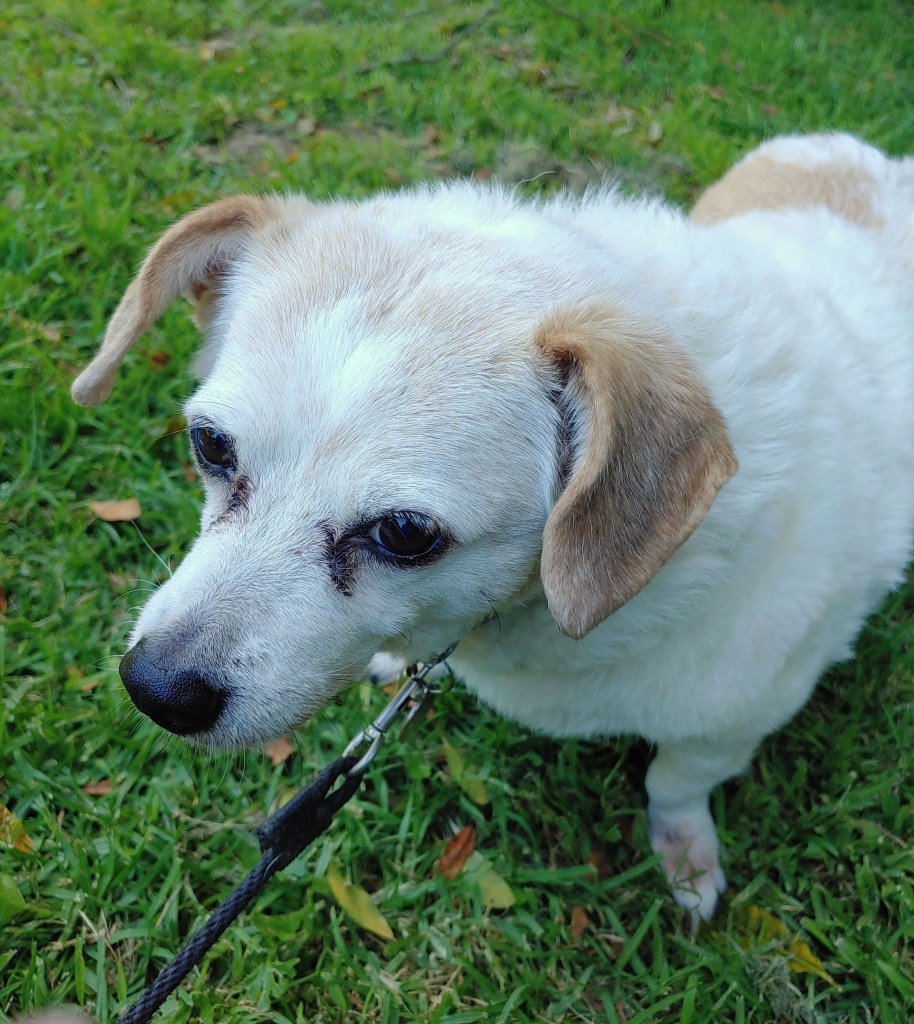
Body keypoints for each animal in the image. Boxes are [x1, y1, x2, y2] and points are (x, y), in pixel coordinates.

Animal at [72, 133, 914, 920]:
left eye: (406, 533)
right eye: (210, 445)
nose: (155, 689)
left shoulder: (735, 718)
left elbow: (673, 782)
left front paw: (684, 856)